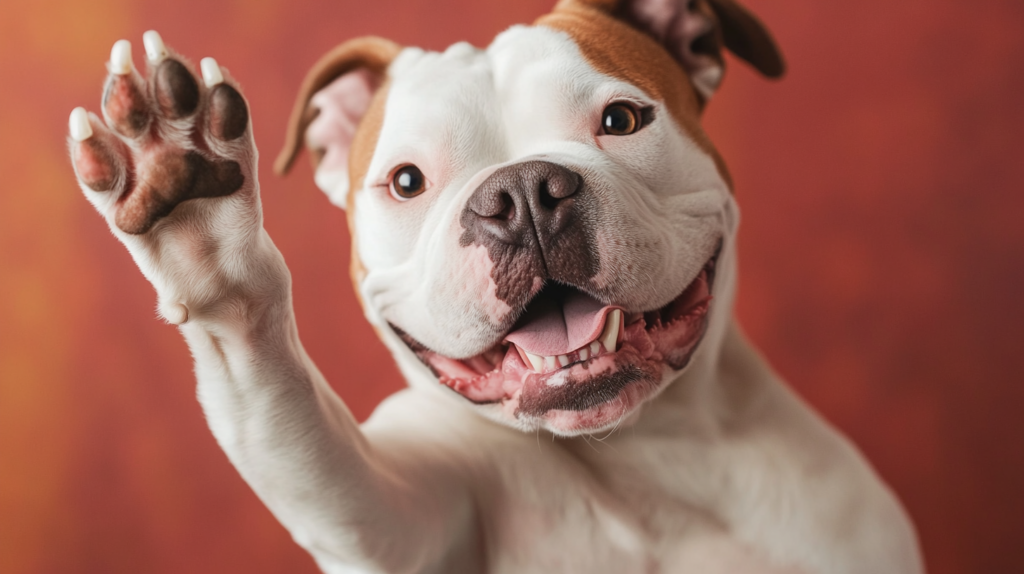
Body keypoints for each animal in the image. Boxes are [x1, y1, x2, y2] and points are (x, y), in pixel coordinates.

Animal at [68, 0, 925, 568]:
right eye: (406, 181)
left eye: (622, 120)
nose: (521, 194)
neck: (643, 453)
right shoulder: (398, 512)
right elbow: (300, 434)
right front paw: (194, 209)